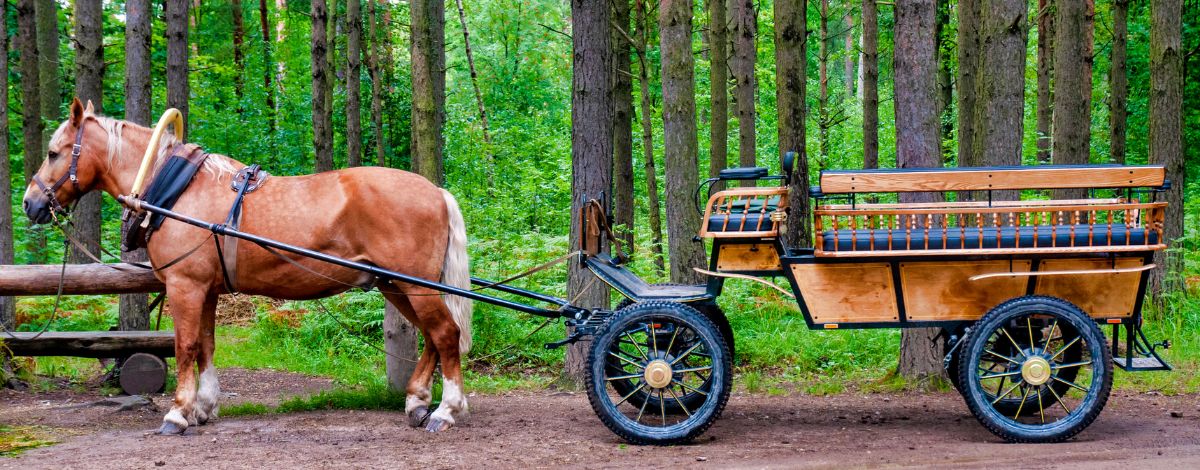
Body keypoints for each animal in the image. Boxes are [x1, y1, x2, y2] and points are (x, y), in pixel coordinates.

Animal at [23, 98, 472, 434]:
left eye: (53, 153)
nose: (30, 202)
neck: (174, 192)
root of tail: (436, 190)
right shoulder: (204, 290)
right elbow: (205, 345)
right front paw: (202, 408)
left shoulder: (185, 286)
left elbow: (185, 346)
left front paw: (178, 412)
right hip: (396, 285)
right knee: (433, 337)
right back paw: (417, 402)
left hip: (414, 285)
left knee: (445, 334)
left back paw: (446, 410)